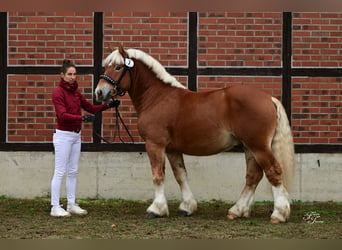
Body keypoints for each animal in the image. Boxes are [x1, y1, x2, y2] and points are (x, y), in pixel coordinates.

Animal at [95, 45, 296, 223]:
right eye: (106, 66)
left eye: (118, 67)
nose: (99, 92)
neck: (157, 97)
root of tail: (268, 98)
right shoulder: (172, 149)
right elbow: (181, 175)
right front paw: (187, 207)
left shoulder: (154, 144)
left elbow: (158, 175)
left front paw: (156, 209)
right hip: (249, 147)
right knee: (253, 176)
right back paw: (237, 211)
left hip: (258, 146)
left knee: (273, 171)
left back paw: (278, 214)